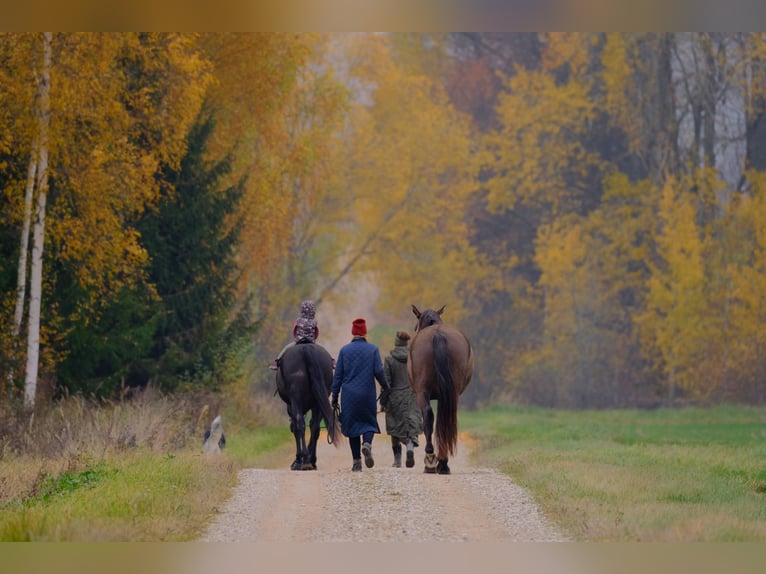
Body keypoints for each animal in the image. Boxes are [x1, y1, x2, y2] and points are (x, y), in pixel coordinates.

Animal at [272, 342, 340, 472]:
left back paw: (304, 462)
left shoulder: (291, 406)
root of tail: (306, 347)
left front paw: (298, 460)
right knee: (315, 427)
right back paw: (311, 460)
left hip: (296, 399)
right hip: (319, 400)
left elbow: (295, 428)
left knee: (300, 425)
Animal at [408, 306, 474, 476]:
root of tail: (438, 334)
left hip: (422, 392)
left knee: (428, 416)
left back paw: (432, 460)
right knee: (447, 418)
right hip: (451, 394)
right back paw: (443, 463)